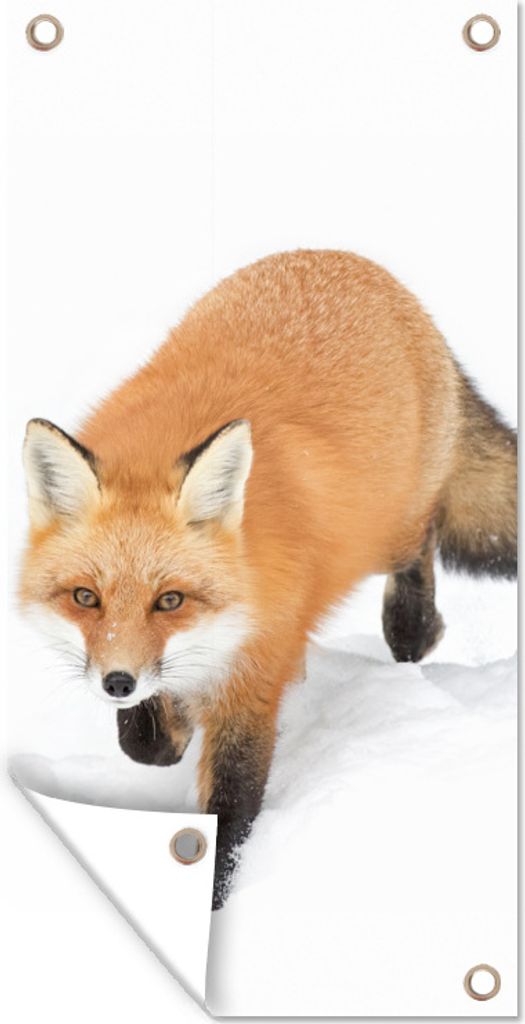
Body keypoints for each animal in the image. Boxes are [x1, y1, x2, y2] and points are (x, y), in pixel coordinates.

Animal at [19, 250, 517, 908]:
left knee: (422, 541)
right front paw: (170, 724)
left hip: (386, 527)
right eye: (85, 598)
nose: (117, 682)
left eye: (170, 600)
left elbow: (230, 804)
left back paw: (416, 628)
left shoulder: (253, 679)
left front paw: (214, 898)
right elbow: (147, 744)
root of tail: (350, 260)